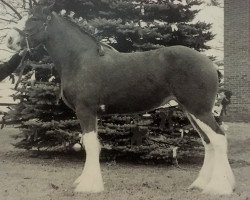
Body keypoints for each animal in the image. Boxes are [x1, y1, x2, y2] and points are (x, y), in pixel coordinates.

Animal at [6, 2, 235, 195]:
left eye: (34, 18)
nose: (9, 39)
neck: (80, 59)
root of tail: (210, 64)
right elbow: (91, 144)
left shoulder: (85, 110)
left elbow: (91, 145)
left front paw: (89, 186)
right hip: (191, 111)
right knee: (208, 142)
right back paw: (200, 184)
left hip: (199, 109)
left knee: (219, 138)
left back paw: (219, 187)